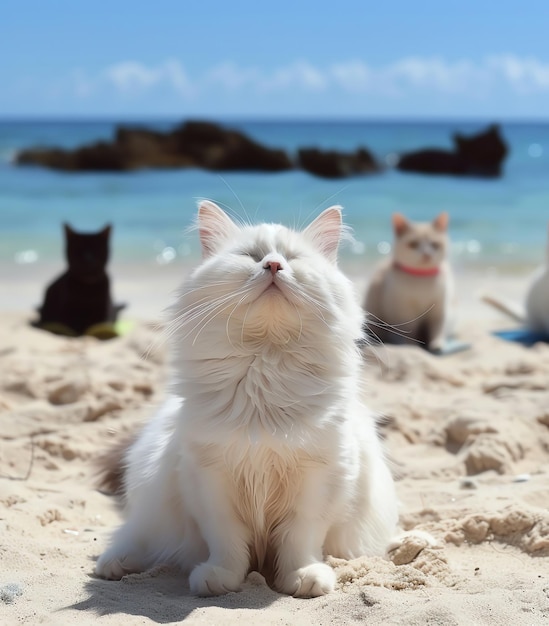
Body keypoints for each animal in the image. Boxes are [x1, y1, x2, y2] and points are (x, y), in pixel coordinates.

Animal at [92, 200, 396, 596]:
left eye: (292, 258)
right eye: (251, 256)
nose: (273, 265)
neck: (264, 369)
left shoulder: (319, 476)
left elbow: (300, 537)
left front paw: (303, 576)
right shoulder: (210, 478)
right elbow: (227, 540)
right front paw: (220, 578)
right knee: (139, 539)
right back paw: (116, 564)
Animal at [364, 212, 454, 352]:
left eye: (434, 244)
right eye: (413, 244)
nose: (427, 254)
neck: (422, 279)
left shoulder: (439, 310)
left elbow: (437, 328)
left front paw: (437, 343)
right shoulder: (404, 313)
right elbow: (409, 332)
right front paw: (412, 346)